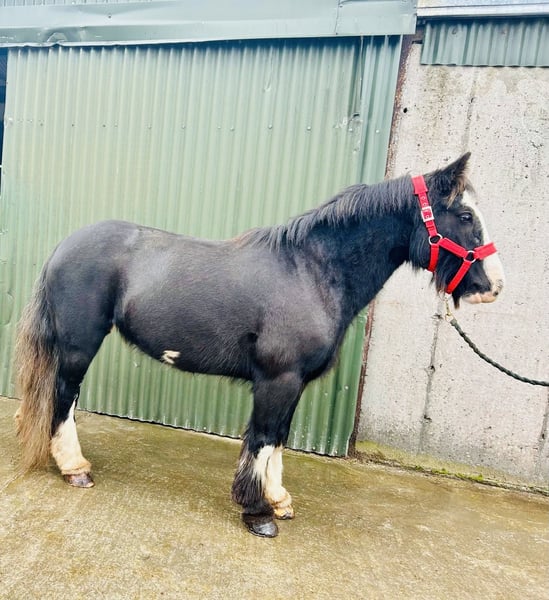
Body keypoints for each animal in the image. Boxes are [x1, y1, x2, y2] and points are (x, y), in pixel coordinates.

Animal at [14, 153, 504, 537]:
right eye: (465, 216)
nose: (493, 286)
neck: (310, 271)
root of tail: (65, 245)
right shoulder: (277, 379)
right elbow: (265, 438)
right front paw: (258, 512)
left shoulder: (292, 382)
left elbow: (279, 439)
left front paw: (279, 499)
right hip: (79, 344)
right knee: (63, 396)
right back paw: (75, 468)